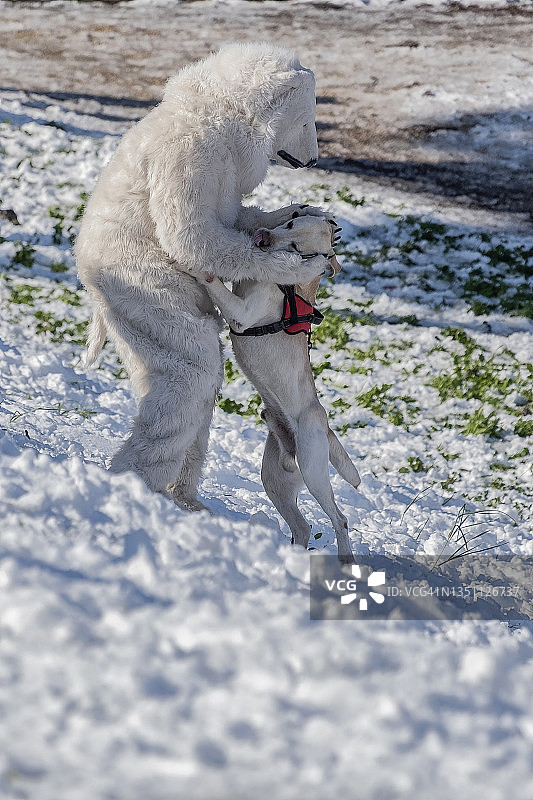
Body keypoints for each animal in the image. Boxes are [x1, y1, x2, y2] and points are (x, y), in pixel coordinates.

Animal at [197, 214, 360, 564]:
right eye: (290, 223)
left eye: (298, 248)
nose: (262, 236)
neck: (285, 285)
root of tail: (326, 426)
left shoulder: (242, 313)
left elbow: (211, 280)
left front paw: (195, 264)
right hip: (275, 479)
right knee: (302, 525)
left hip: (313, 472)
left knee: (339, 518)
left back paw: (346, 559)